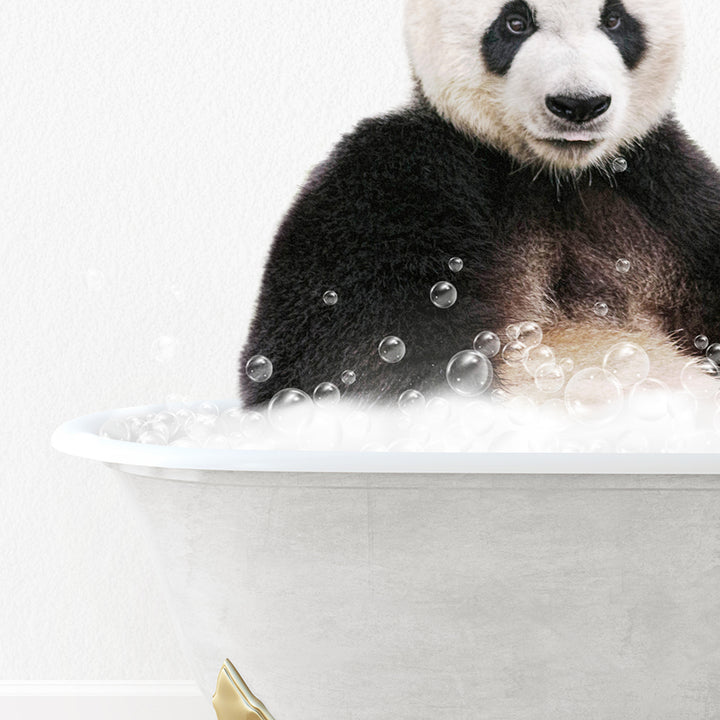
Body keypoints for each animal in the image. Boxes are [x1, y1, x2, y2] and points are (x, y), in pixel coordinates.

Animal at [239, 0, 720, 408]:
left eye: (615, 19)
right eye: (515, 22)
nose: (578, 104)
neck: (552, 176)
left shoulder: (667, 191)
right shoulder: (396, 187)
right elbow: (343, 360)